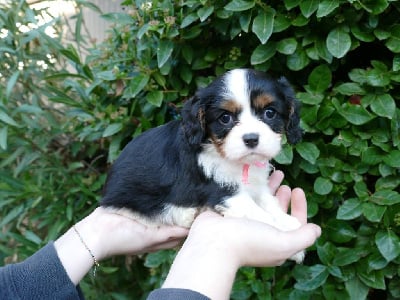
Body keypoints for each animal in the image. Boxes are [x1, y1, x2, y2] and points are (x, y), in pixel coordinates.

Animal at [100, 69, 304, 262]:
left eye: (270, 113)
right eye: (225, 118)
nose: (251, 139)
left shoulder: (257, 186)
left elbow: (269, 203)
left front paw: (288, 223)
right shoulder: (224, 192)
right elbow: (260, 215)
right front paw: (291, 243)